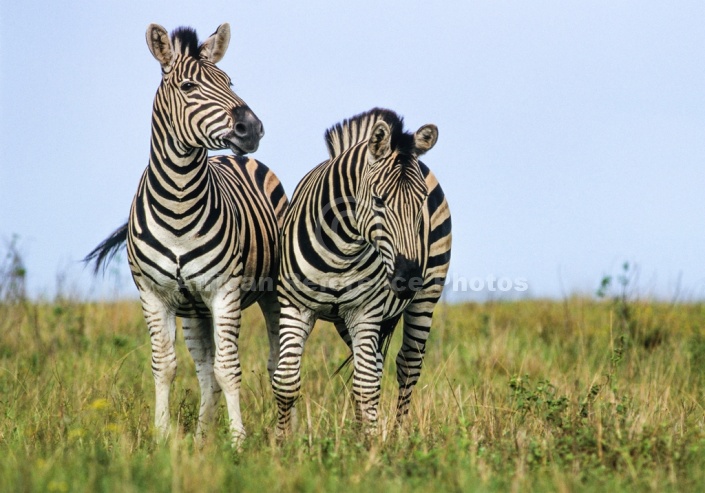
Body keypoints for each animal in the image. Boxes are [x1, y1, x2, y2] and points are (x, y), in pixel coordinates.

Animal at [84, 23, 288, 442]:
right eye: (189, 86)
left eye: (228, 82)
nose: (251, 128)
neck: (179, 205)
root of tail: (233, 158)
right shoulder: (154, 295)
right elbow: (165, 366)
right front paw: (163, 439)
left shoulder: (224, 292)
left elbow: (230, 369)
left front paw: (238, 442)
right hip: (195, 310)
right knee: (205, 371)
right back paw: (200, 440)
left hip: (270, 291)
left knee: (276, 363)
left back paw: (278, 439)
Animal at [270, 106, 452, 434]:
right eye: (379, 200)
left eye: (422, 201)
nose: (408, 278)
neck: (341, 249)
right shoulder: (295, 305)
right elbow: (286, 380)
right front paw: (281, 441)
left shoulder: (366, 310)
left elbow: (367, 384)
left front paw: (370, 444)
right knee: (373, 364)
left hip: (427, 295)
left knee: (407, 365)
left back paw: (396, 435)